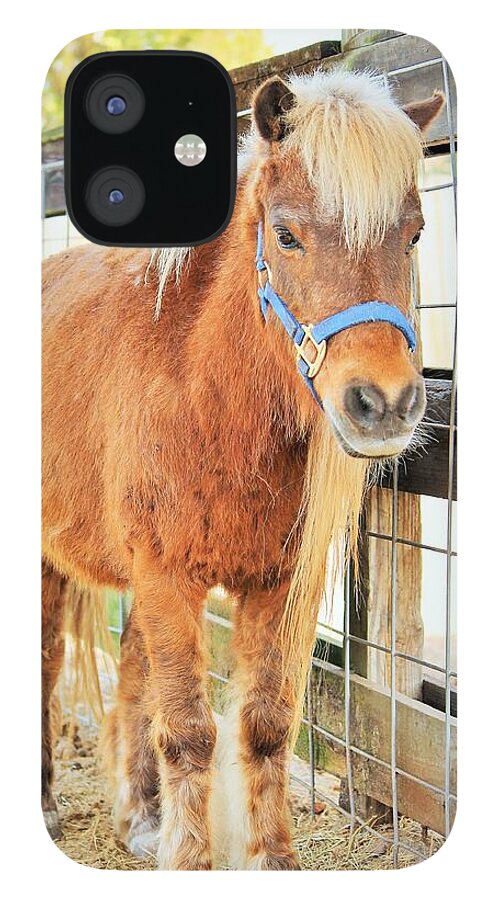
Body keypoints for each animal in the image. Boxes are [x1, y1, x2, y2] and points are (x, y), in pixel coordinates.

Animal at [42, 67, 444, 869]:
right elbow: (190, 732)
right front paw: (192, 861)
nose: (383, 403)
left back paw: (140, 816)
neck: (205, 396)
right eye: (285, 235)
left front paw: (270, 860)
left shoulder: (276, 585)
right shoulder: (167, 577)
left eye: (414, 233)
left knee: (133, 672)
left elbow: (262, 724)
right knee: (45, 663)